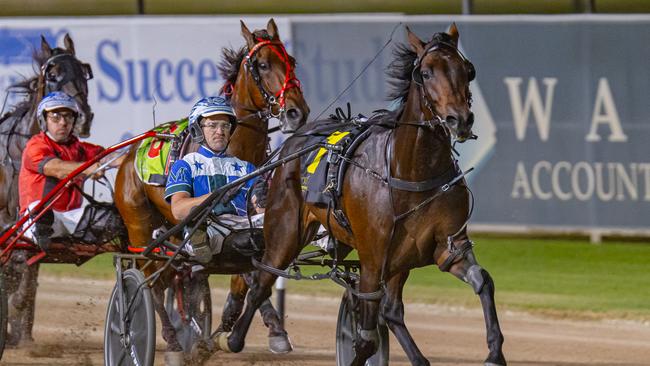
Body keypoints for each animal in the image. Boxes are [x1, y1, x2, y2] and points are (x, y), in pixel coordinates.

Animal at [0, 34, 93, 346]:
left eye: (84, 73)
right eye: (52, 75)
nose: (81, 117)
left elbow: (29, 269)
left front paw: (21, 329)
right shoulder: (13, 217)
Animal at [112, 19, 308, 360]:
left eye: (291, 62)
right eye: (262, 64)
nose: (298, 112)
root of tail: (128, 157)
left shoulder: (254, 216)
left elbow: (247, 271)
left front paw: (260, 327)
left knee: (177, 273)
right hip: (140, 225)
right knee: (151, 279)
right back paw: (168, 340)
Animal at [223, 25, 506, 366]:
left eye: (467, 70)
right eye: (425, 72)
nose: (459, 120)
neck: (411, 170)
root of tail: (295, 140)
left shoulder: (447, 246)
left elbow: (482, 281)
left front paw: (494, 352)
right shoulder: (373, 258)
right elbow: (367, 338)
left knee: (392, 310)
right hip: (286, 232)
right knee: (262, 282)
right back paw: (235, 338)